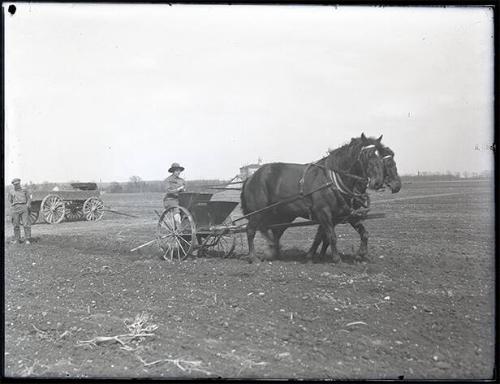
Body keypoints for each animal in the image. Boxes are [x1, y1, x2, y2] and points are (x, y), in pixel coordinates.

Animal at [240, 134, 384, 262]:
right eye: (367, 155)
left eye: (381, 155)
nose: (378, 182)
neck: (331, 181)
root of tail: (252, 177)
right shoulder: (324, 212)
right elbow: (331, 236)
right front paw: (336, 258)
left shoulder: (346, 214)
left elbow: (361, 233)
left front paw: (361, 254)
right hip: (258, 212)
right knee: (251, 230)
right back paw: (254, 257)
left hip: (282, 215)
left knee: (275, 232)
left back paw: (276, 253)